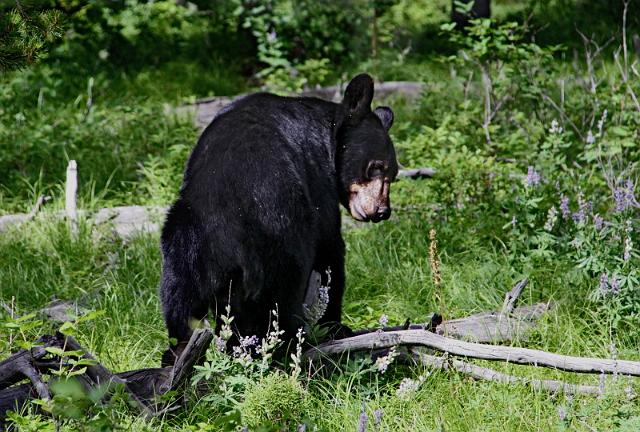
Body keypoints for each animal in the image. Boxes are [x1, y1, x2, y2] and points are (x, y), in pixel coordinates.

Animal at [160, 74, 398, 364]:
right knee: (282, 300)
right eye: (375, 167)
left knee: (178, 302)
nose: (381, 211)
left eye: (393, 175)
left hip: (184, 240)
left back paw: (179, 351)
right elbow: (330, 252)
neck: (326, 135)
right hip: (280, 242)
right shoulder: (318, 183)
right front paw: (336, 327)